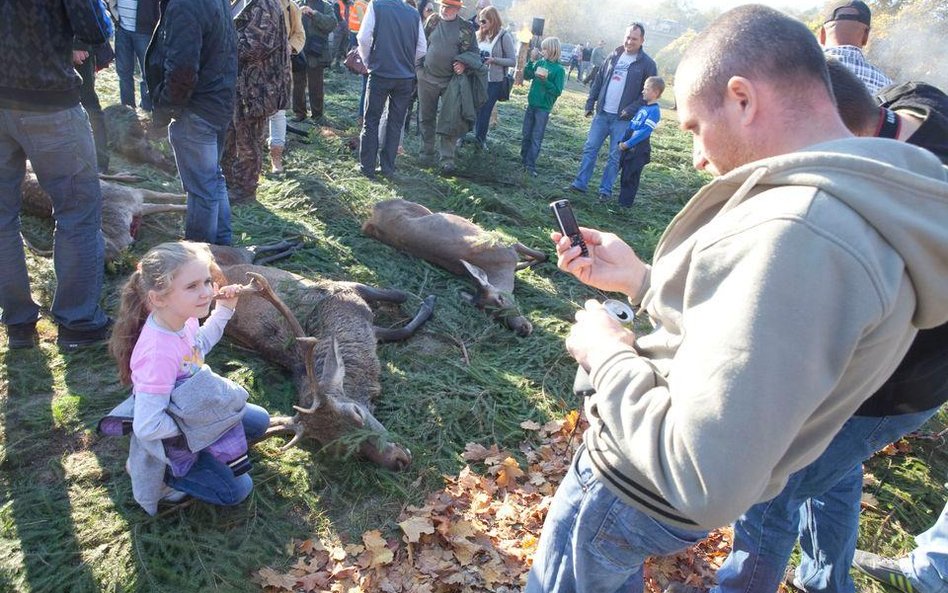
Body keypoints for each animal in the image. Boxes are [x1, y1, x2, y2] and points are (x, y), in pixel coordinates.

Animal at [20, 168, 187, 258]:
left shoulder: (135, 195)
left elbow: (166, 197)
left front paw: (185, 198)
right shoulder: (137, 203)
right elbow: (166, 203)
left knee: (100, 174)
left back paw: (132, 176)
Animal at [209, 243, 436, 470]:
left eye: (357, 412)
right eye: (341, 447)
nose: (398, 460)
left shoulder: (348, 289)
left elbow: (400, 295)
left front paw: (428, 300)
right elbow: (403, 329)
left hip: (234, 254)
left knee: (251, 250)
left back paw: (290, 245)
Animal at [362, 199, 544, 336]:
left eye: (500, 299)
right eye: (491, 315)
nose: (523, 329)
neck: (501, 269)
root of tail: (375, 210)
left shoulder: (507, 244)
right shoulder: (507, 244)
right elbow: (541, 256)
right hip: (418, 207)